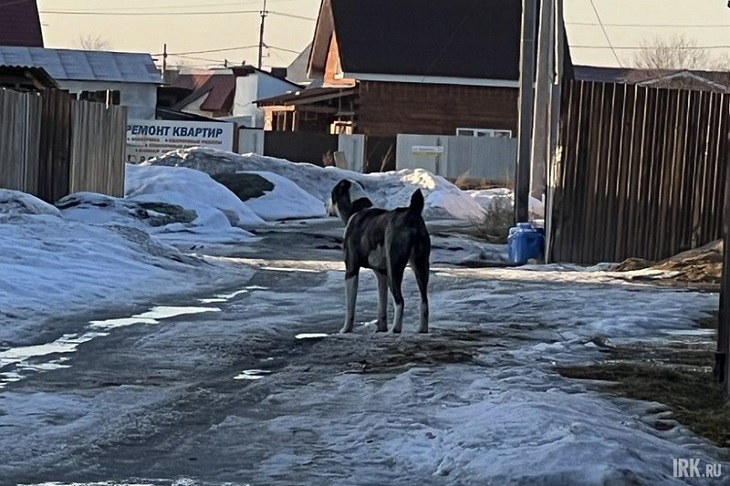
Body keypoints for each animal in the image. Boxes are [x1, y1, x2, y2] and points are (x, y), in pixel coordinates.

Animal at [326, 179, 432, 334]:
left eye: (332, 193)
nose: (324, 204)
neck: (357, 209)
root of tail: (412, 211)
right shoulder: (381, 274)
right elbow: (382, 303)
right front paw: (381, 328)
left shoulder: (351, 270)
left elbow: (350, 306)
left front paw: (346, 329)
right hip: (420, 265)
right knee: (424, 299)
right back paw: (422, 329)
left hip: (394, 267)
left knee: (400, 300)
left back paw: (395, 329)